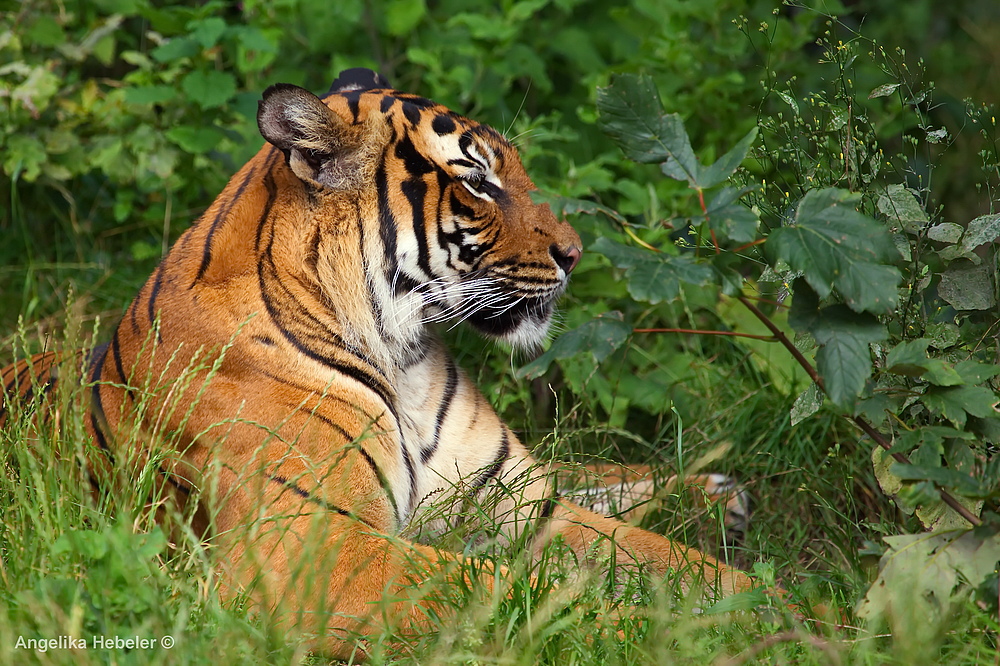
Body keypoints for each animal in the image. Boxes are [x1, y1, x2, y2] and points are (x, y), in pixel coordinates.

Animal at [0, 68, 756, 660]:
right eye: (479, 182)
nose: (574, 254)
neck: (404, 358)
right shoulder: (312, 547)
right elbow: (497, 589)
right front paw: (688, 636)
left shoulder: (517, 509)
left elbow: (669, 562)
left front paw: (771, 606)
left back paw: (718, 494)